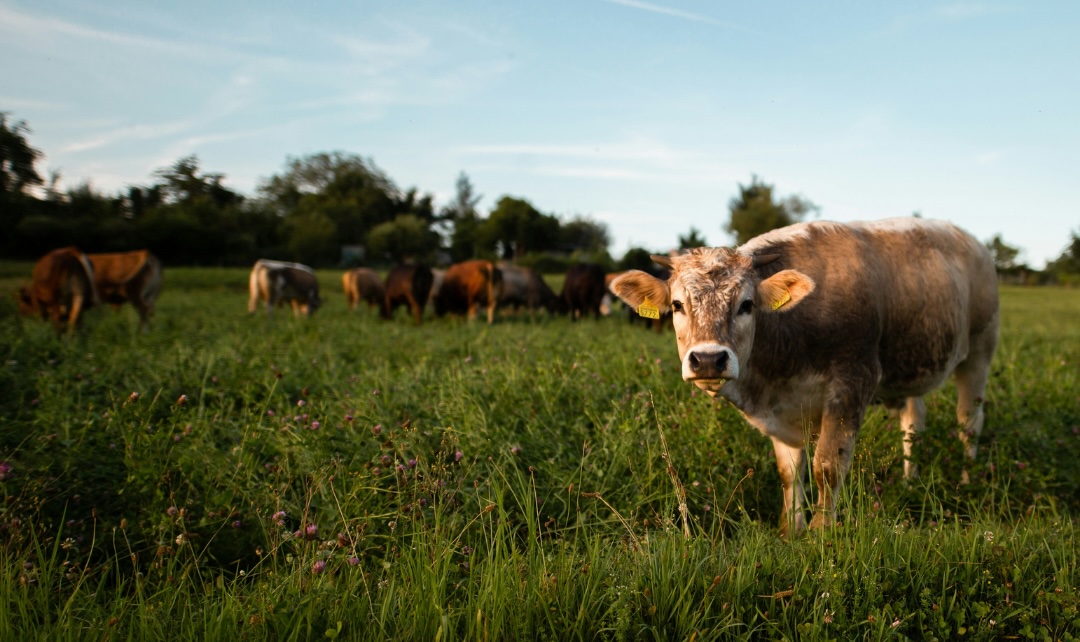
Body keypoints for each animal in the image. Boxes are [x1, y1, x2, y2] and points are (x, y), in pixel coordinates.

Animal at [610, 218, 999, 538]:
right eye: (677, 306)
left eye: (747, 305)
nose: (708, 359)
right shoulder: (781, 410)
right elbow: (789, 471)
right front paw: (791, 529)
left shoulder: (853, 380)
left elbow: (826, 465)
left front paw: (820, 532)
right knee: (913, 423)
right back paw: (909, 481)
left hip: (979, 352)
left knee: (969, 421)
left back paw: (967, 480)